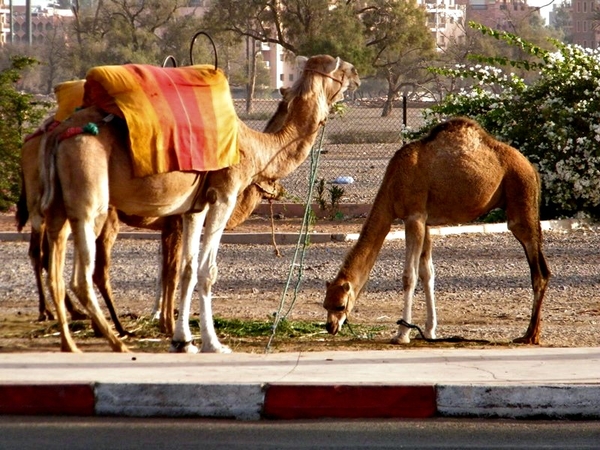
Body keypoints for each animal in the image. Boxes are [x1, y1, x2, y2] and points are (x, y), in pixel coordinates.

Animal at [326, 116, 552, 344]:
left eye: (340, 305)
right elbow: (428, 273)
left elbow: (410, 275)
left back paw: (529, 335)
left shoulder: (414, 217)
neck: (392, 186)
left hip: (520, 198)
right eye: (325, 304)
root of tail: (531, 168)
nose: (330, 326)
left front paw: (402, 334)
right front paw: (429, 331)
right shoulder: (425, 221)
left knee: (539, 270)